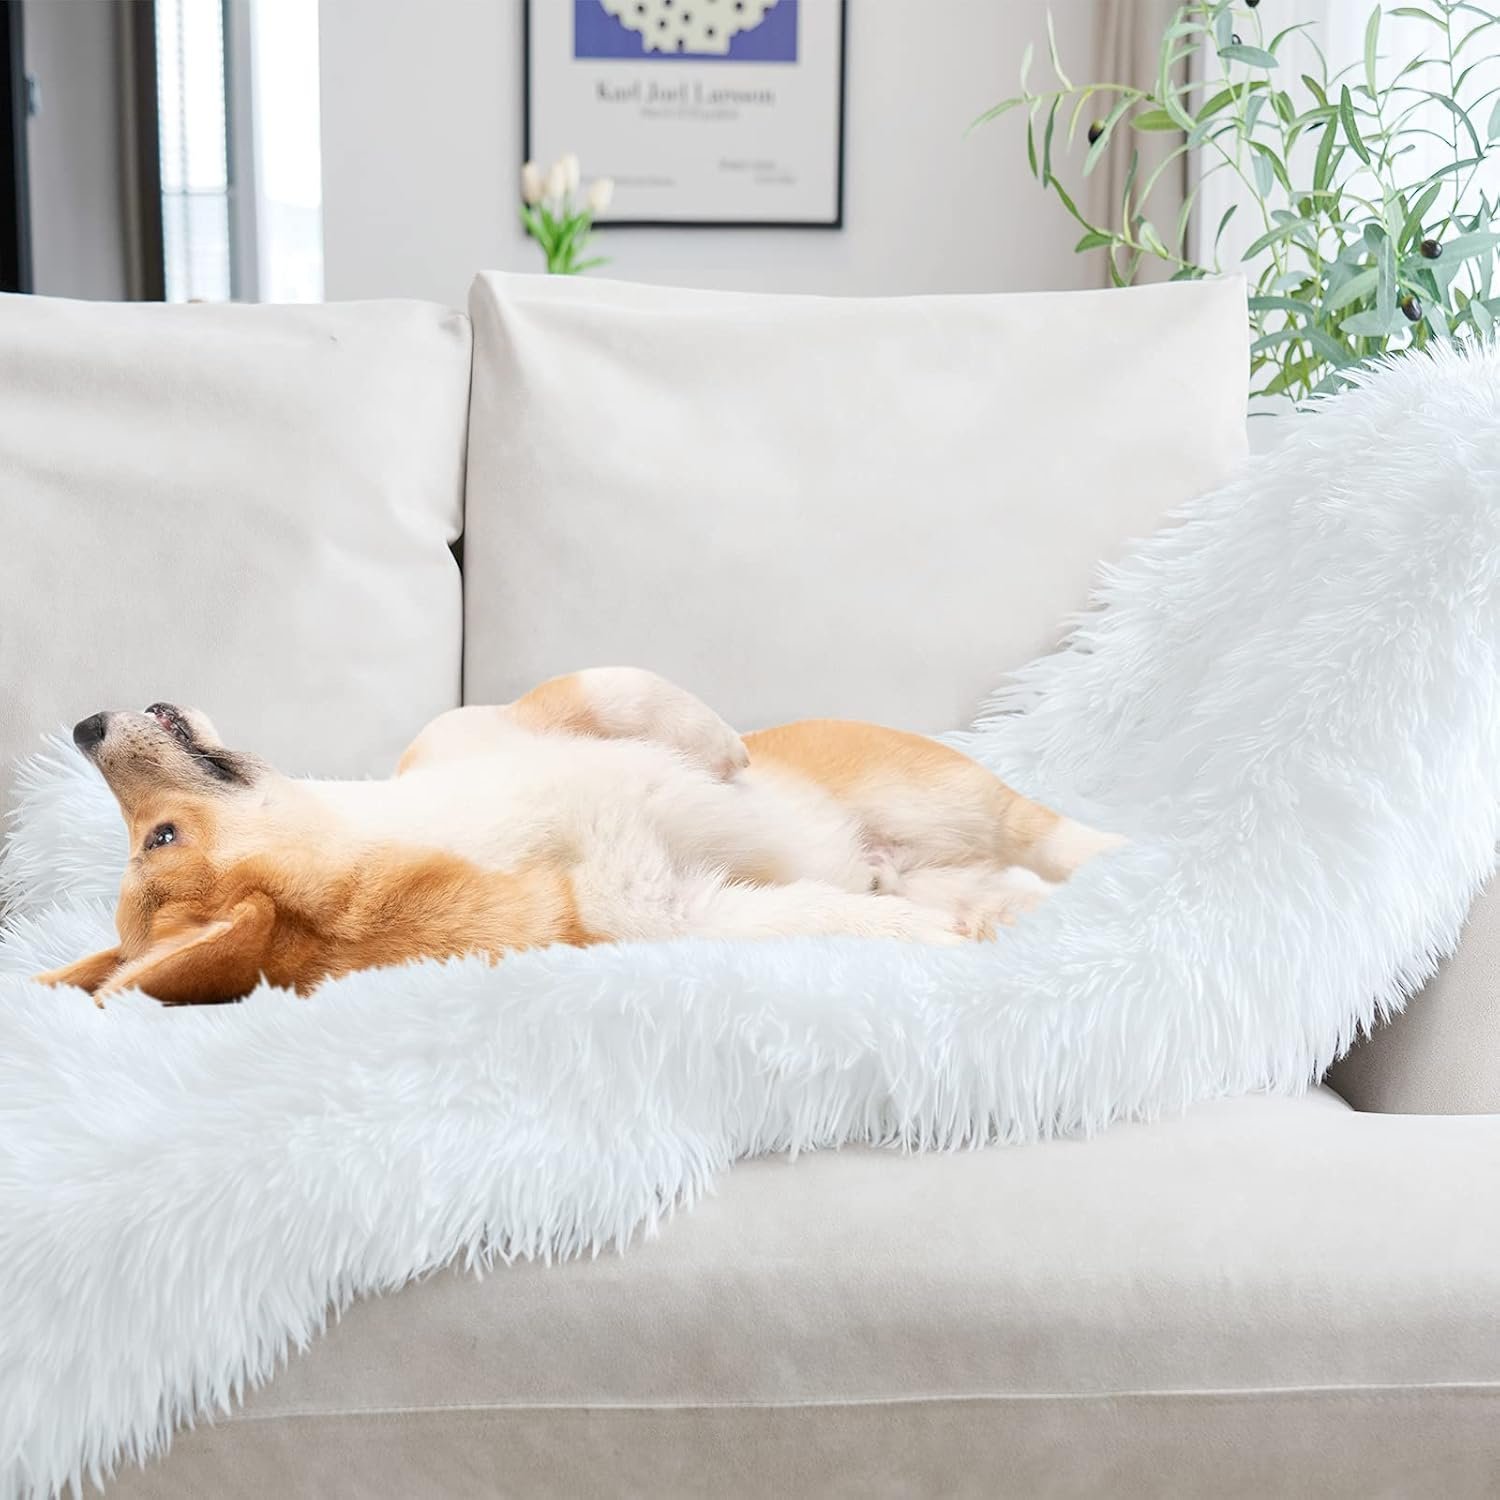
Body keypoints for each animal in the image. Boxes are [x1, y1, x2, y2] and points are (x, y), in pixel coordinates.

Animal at [35, 668, 1121, 1006]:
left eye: (154, 836)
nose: (82, 726)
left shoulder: (485, 727)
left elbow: (613, 688)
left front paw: (717, 748)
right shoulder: (672, 915)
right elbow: (829, 920)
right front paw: (915, 939)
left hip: (940, 802)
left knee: (1057, 838)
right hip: (957, 838)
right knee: (1031, 869)